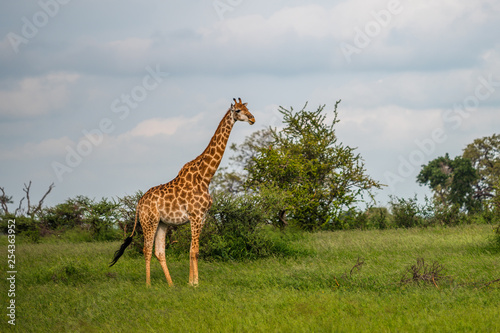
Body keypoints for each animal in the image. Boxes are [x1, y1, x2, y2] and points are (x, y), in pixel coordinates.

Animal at [109, 96, 254, 286]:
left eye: (247, 108)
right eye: (237, 110)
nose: (252, 119)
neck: (205, 176)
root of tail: (139, 203)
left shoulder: (202, 217)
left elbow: (193, 250)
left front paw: (190, 282)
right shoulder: (195, 215)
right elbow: (195, 251)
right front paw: (195, 283)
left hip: (162, 223)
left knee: (159, 251)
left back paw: (171, 285)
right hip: (149, 221)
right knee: (146, 250)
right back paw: (148, 285)